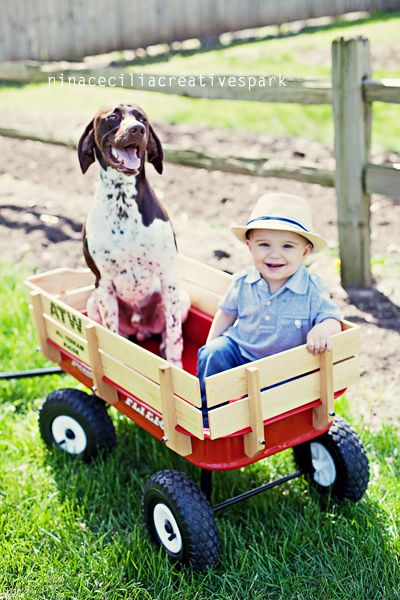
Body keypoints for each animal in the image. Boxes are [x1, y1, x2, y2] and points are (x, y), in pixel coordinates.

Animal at [78, 103, 190, 367]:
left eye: (143, 120)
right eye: (112, 116)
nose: (137, 129)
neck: (122, 201)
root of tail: (141, 327)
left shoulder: (169, 276)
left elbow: (175, 335)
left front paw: (174, 366)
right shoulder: (104, 282)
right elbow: (112, 333)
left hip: (182, 298)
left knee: (168, 332)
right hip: (93, 300)